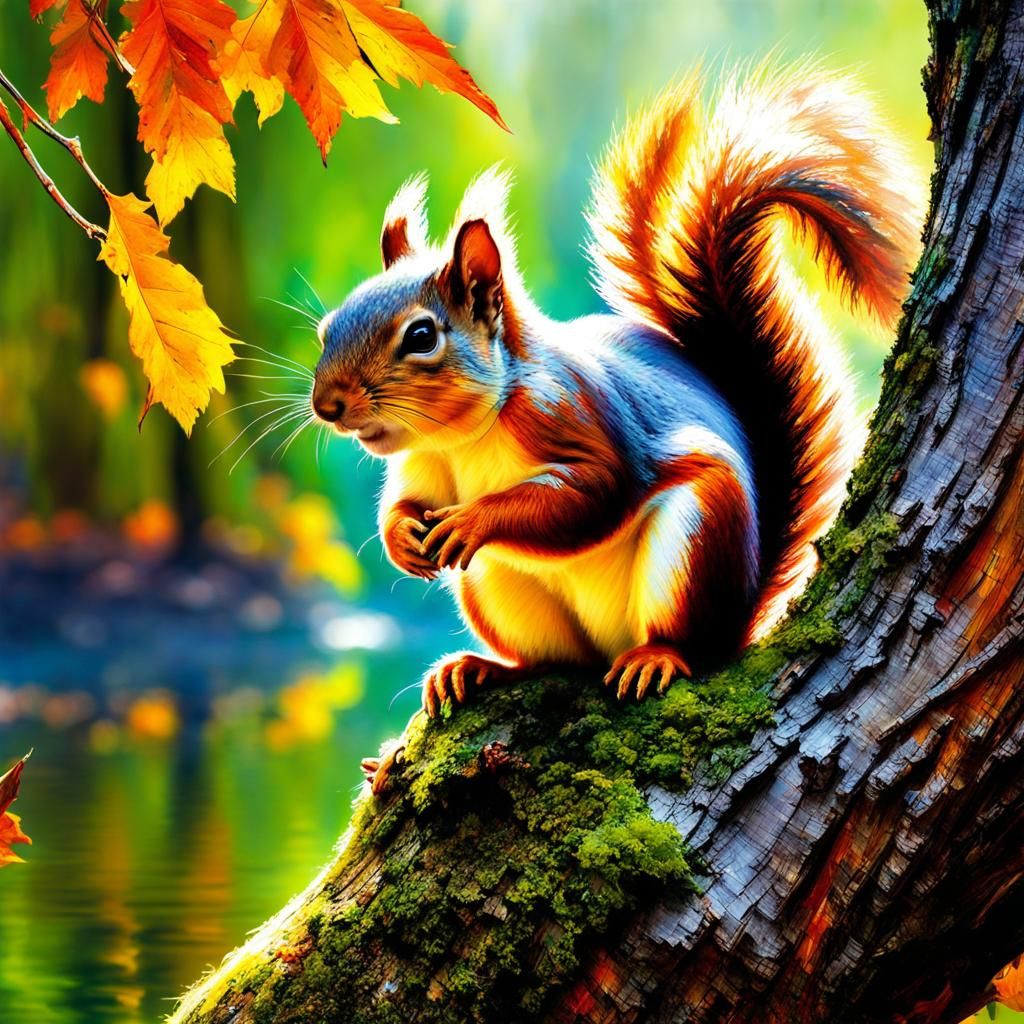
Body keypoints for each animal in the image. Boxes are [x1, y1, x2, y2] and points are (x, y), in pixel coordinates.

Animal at [312, 62, 921, 720]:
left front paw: (473, 520)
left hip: (698, 541)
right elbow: (401, 506)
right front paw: (402, 539)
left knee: (688, 644)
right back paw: (479, 669)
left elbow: (595, 491)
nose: (327, 406)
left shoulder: (574, 412)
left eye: (421, 336)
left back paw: (656, 657)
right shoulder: (420, 467)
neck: (462, 436)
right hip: (498, 586)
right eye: (328, 327)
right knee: (551, 663)